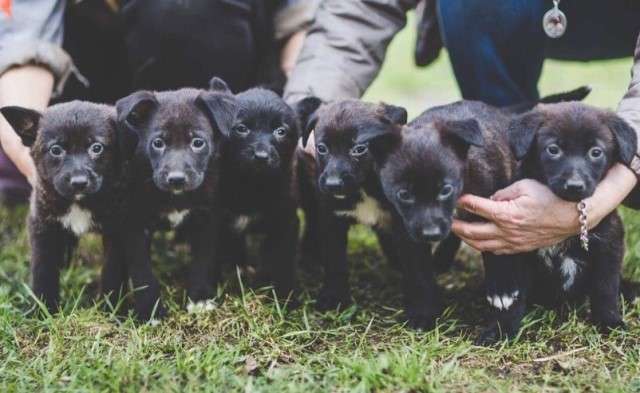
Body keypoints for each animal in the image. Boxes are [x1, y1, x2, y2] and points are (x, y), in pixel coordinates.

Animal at [0, 101, 139, 312]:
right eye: (56, 150)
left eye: (96, 148)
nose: (79, 182)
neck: (78, 202)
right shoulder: (42, 225)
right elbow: (43, 268)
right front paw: (43, 309)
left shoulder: (117, 230)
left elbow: (112, 270)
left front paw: (110, 308)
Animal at [114, 83, 235, 318]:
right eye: (158, 143)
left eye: (197, 143)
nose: (176, 179)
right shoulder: (133, 223)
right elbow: (143, 272)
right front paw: (150, 311)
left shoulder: (208, 219)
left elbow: (202, 262)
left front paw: (200, 299)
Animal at [502, 103, 636, 336]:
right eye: (553, 149)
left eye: (595, 152)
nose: (574, 186)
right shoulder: (518, 247)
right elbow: (514, 297)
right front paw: (502, 330)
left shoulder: (609, 245)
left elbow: (606, 289)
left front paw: (610, 322)